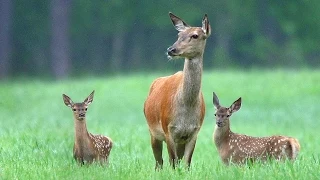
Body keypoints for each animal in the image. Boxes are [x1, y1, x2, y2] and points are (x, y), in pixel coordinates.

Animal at [144, 11, 210, 169]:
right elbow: (172, 162)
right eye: (179, 35)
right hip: (152, 131)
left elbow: (186, 163)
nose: (171, 50)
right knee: (159, 162)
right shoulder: (168, 129)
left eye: (195, 35)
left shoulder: (194, 132)